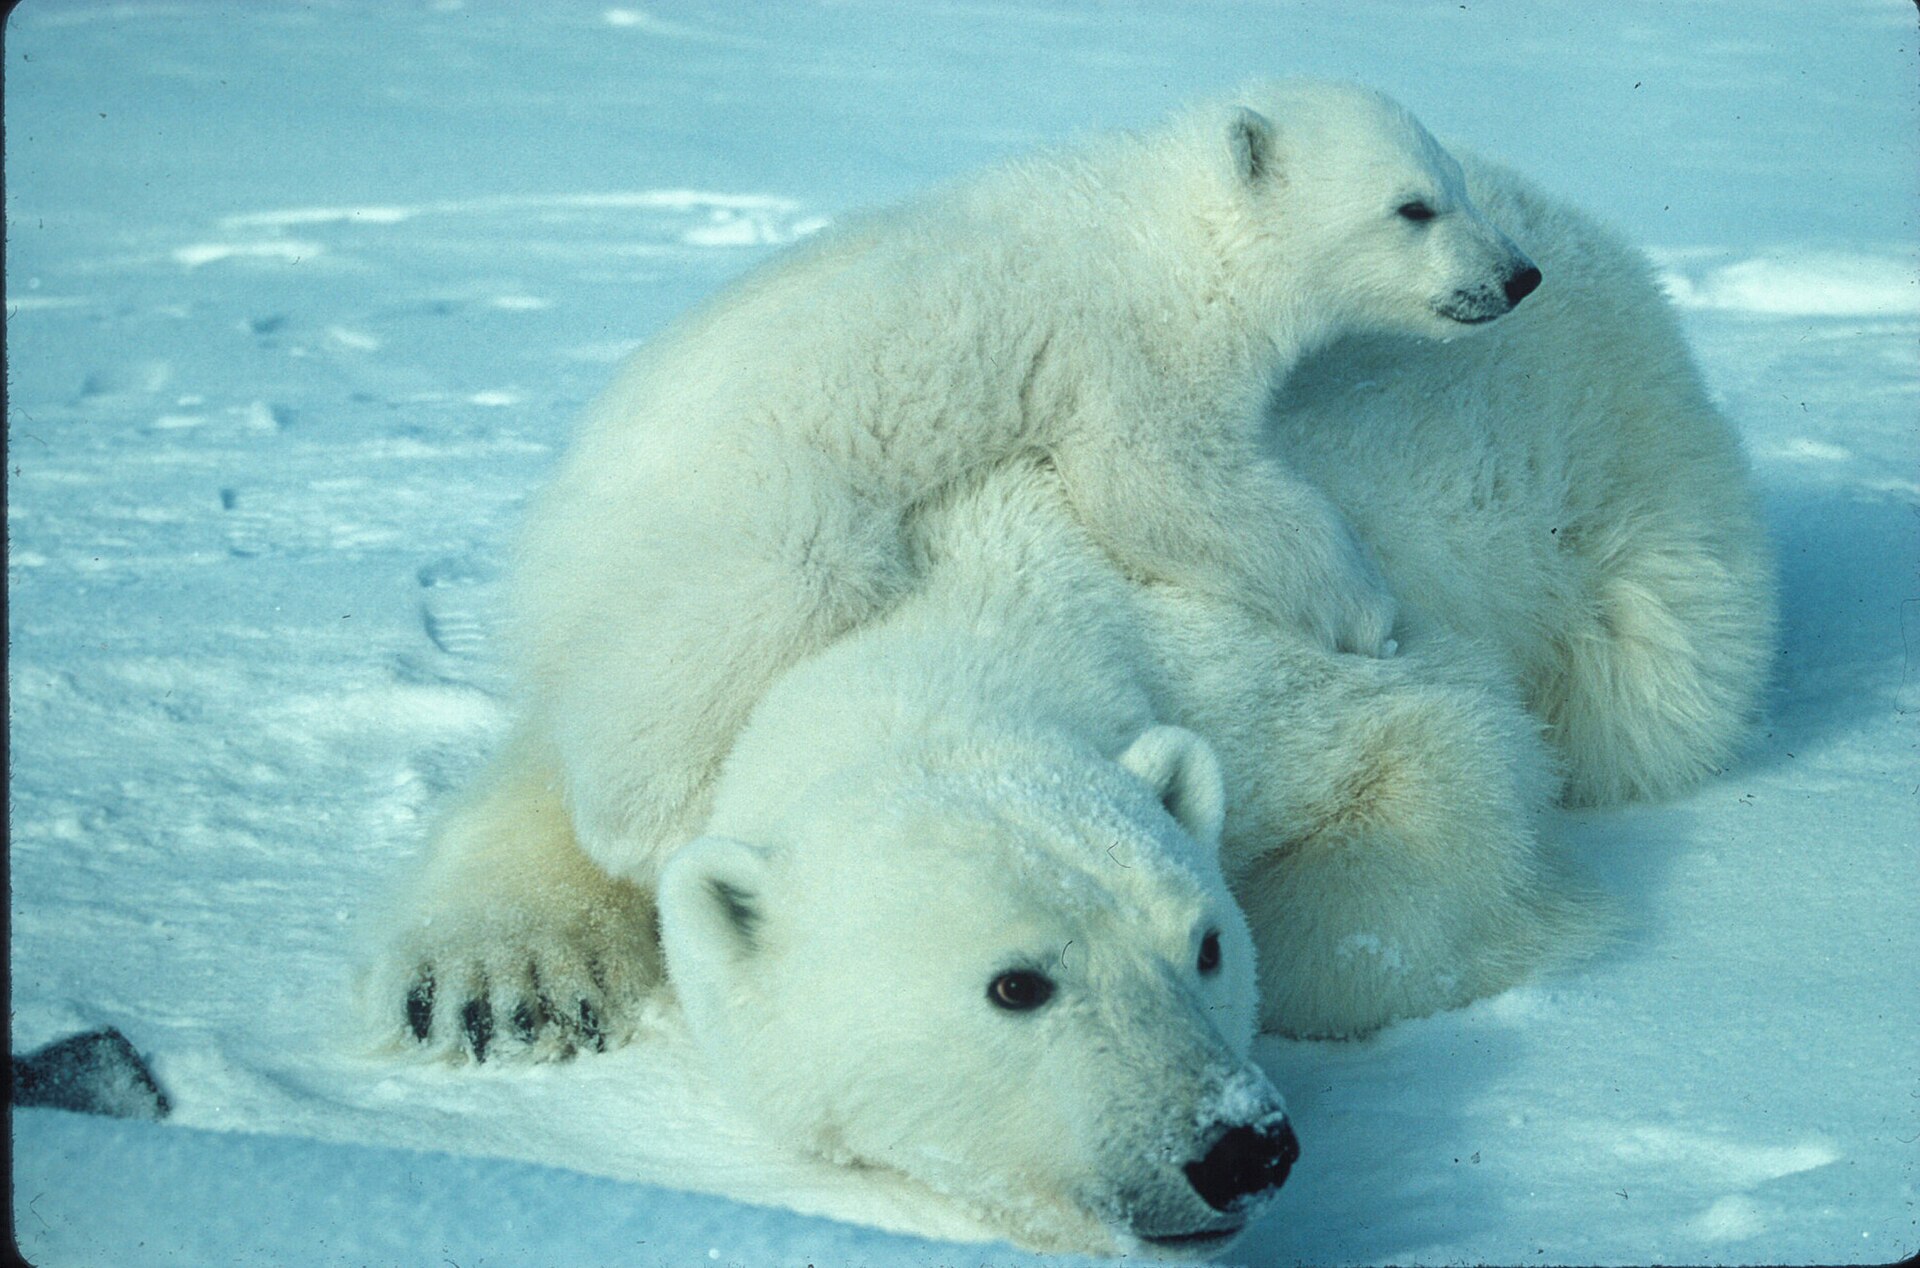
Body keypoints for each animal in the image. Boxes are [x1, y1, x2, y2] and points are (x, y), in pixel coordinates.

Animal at [503, 80, 1541, 885]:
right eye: (1414, 207)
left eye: (1456, 183)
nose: (1519, 276)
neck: (1173, 229)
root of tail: (548, 540)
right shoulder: (1132, 344)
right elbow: (1160, 483)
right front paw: (1369, 612)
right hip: (745, 506)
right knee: (744, 619)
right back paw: (655, 826)